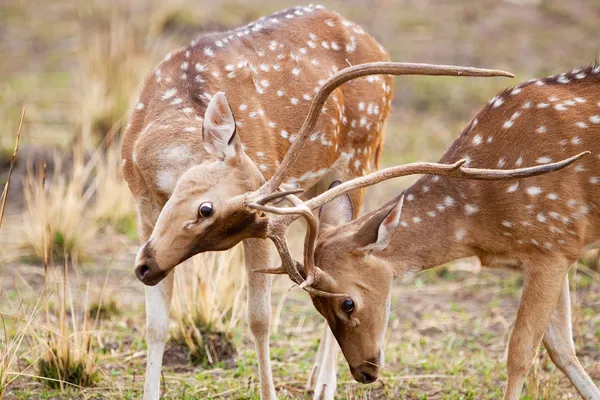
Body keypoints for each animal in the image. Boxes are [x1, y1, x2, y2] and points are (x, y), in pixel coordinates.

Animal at [123, 4, 520, 398]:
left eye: (207, 210)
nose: (145, 268)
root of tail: (371, 41)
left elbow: (259, 319)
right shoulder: (144, 207)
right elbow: (156, 323)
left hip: (360, 156)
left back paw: (325, 385)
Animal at [255, 64, 600, 398]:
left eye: (347, 303)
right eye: (316, 305)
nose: (363, 372)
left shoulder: (553, 241)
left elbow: (520, 352)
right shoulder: (550, 254)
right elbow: (561, 349)